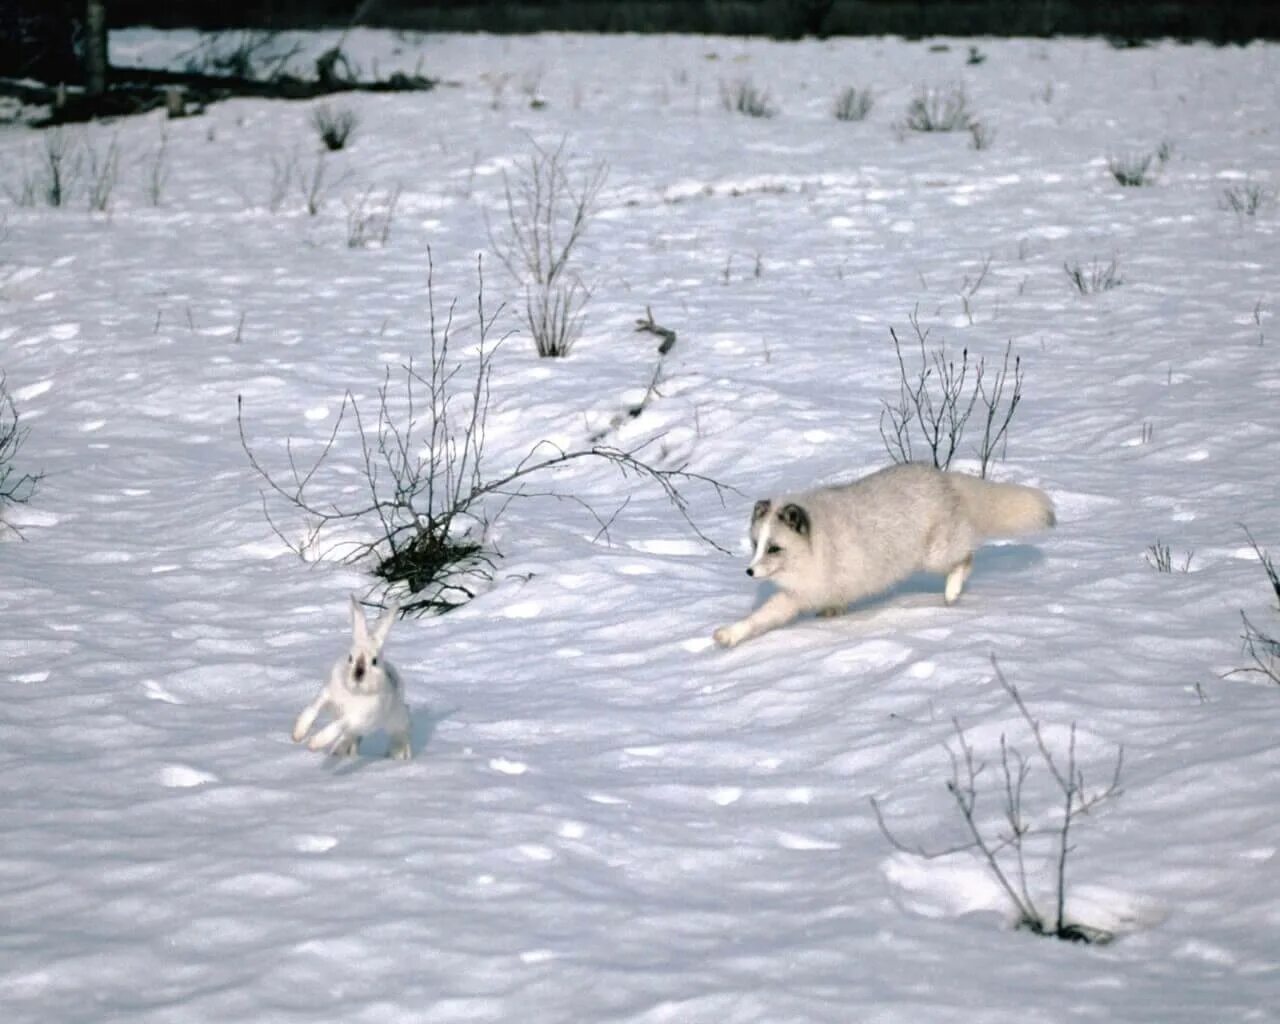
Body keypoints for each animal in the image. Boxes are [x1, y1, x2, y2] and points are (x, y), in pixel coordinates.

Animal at [293, 591, 412, 757]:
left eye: (374, 661)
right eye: (350, 658)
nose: (358, 676)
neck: (355, 692)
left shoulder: (356, 717)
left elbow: (338, 725)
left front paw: (314, 743)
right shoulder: (326, 693)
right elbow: (312, 709)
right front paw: (297, 735)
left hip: (395, 719)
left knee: (402, 729)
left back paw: (401, 754)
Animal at [716, 463, 1054, 647]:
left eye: (774, 548)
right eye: (755, 544)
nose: (749, 571)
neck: (818, 544)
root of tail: (942, 477)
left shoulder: (805, 590)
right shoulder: (800, 594)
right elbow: (759, 618)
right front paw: (729, 635)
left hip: (934, 554)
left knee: (967, 555)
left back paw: (952, 591)